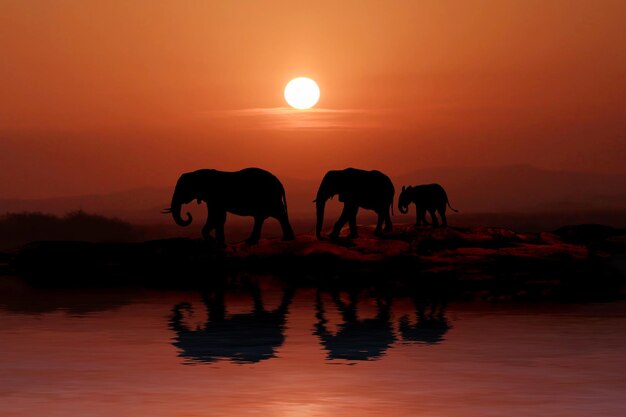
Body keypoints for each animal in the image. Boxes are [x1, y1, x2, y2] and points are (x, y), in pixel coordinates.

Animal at [163, 167, 294, 244]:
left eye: (183, 189)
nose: (188, 214)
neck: (197, 173)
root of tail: (280, 183)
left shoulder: (215, 196)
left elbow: (217, 216)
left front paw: (215, 241)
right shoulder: (212, 199)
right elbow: (217, 216)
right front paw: (217, 241)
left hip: (270, 198)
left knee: (278, 214)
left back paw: (287, 238)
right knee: (262, 217)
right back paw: (252, 240)